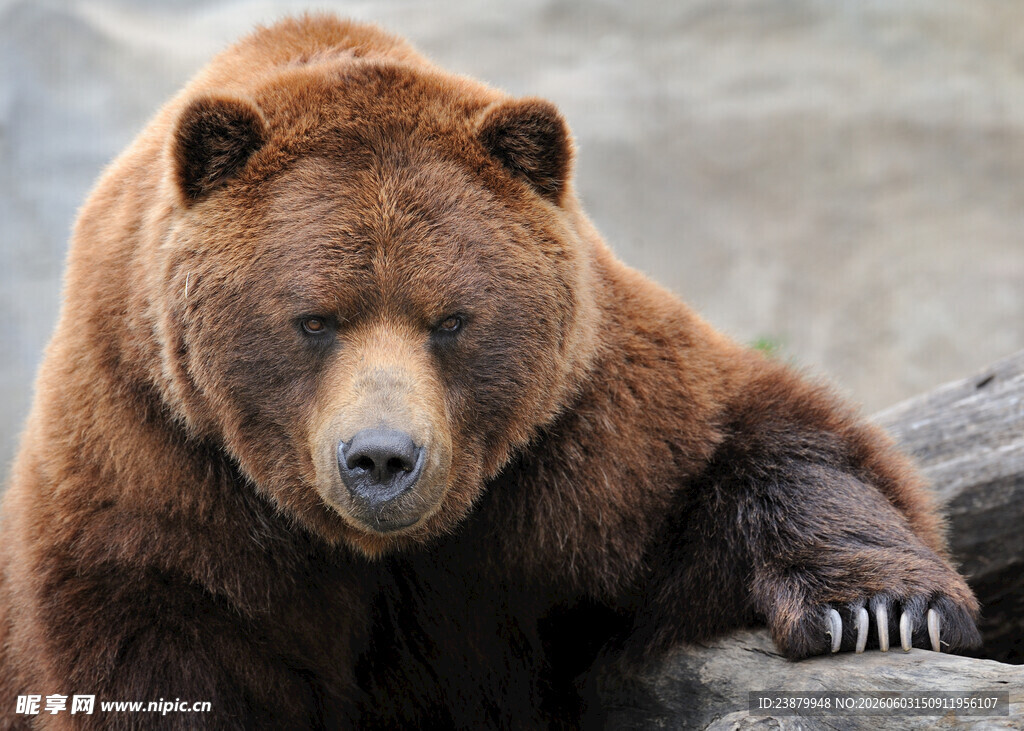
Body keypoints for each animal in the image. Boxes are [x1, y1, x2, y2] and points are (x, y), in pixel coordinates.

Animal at [0, 13, 980, 729]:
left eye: (452, 320)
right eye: (313, 319)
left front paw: (880, 608)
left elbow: (755, 445)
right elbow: (162, 652)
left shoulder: (580, 436)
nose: (382, 458)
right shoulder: (159, 471)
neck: (380, 551)